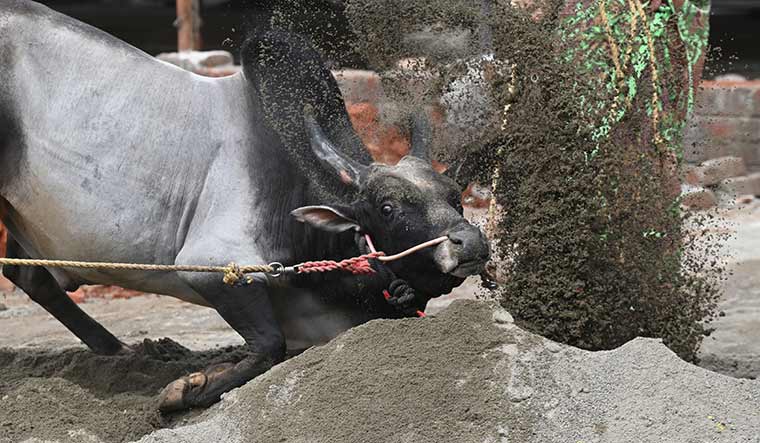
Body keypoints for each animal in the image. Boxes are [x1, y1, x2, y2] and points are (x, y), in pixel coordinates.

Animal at [0, 1, 490, 411]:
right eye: (387, 207)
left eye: (454, 196)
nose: (471, 243)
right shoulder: (216, 263)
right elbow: (269, 346)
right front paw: (184, 391)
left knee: (29, 277)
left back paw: (119, 351)